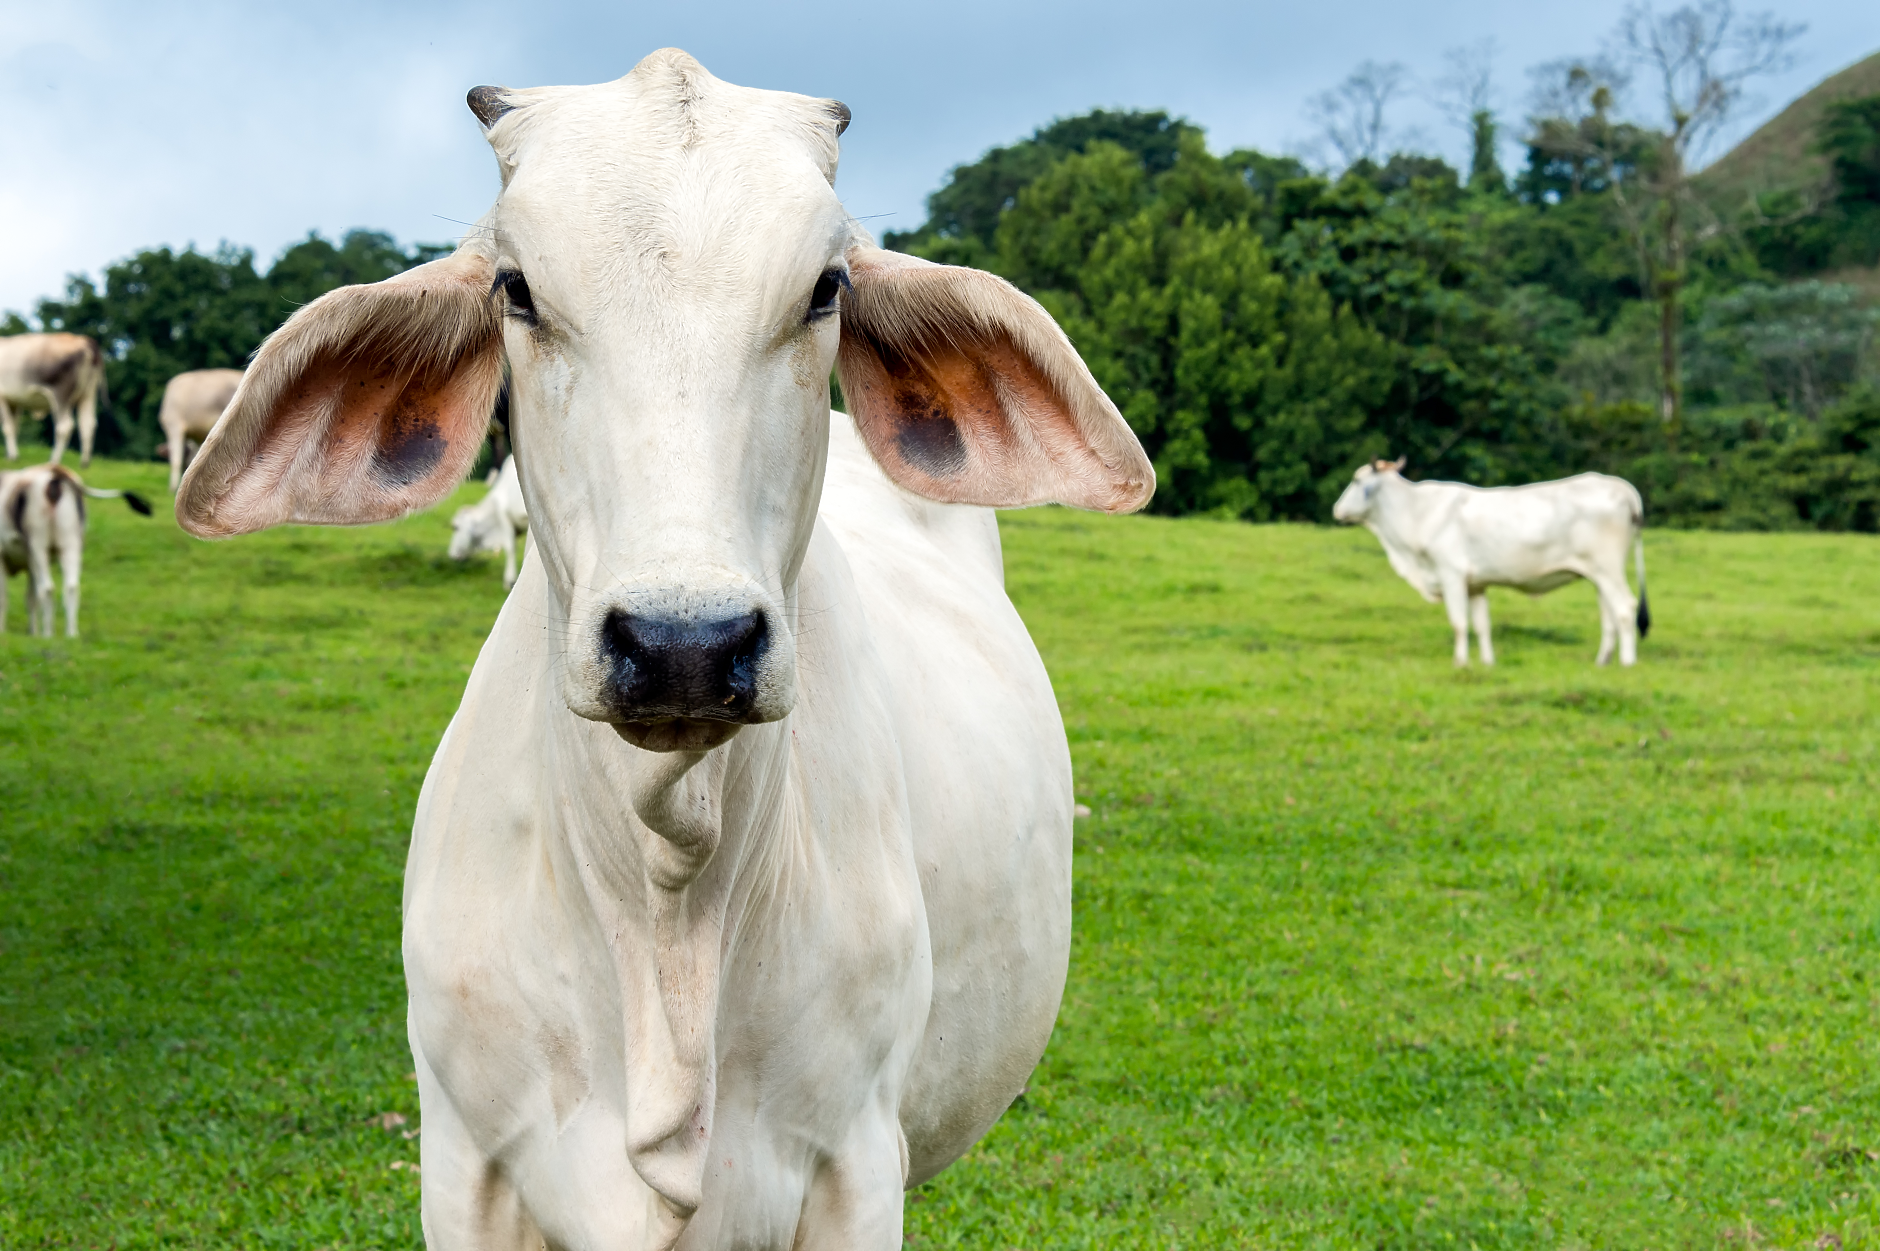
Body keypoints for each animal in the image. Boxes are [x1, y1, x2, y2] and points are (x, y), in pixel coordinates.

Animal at [0, 331, 107, 462]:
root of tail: (83, 340)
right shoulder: (13, 401)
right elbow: (15, 426)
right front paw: (11, 454)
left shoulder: (3, 397)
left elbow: (8, 427)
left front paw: (12, 456)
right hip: (88, 393)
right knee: (88, 424)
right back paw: (84, 462)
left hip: (61, 395)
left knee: (65, 426)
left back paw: (54, 460)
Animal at [2, 462, 150, 635]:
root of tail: (54, 471)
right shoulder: (29, 563)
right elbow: (31, 598)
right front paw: (32, 633)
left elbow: (5, 597)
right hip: (70, 544)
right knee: (71, 587)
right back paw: (71, 634)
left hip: (39, 546)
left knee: (47, 588)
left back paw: (48, 634)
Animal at [1331, 457, 1654, 662]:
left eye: (1357, 480)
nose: (1336, 509)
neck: (1416, 512)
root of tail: (1621, 487)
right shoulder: (1476, 584)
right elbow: (1481, 625)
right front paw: (1487, 662)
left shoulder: (1451, 574)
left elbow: (1459, 623)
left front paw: (1460, 662)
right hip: (1598, 575)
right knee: (1609, 616)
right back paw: (1602, 661)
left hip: (1608, 569)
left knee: (1625, 608)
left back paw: (1627, 662)